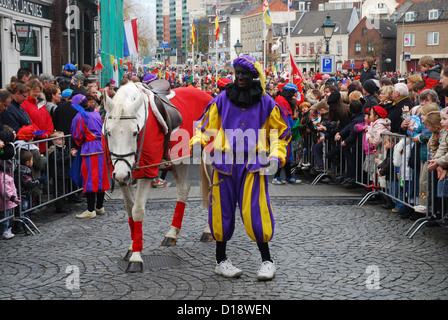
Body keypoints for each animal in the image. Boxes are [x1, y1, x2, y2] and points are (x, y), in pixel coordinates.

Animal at [103, 82, 214, 272]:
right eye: (109, 132)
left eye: (134, 133)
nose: (122, 175)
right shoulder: (123, 175)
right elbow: (130, 210)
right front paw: (132, 247)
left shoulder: (147, 171)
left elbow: (138, 210)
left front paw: (136, 257)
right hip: (179, 159)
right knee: (184, 190)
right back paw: (172, 234)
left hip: (210, 156)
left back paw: (208, 231)